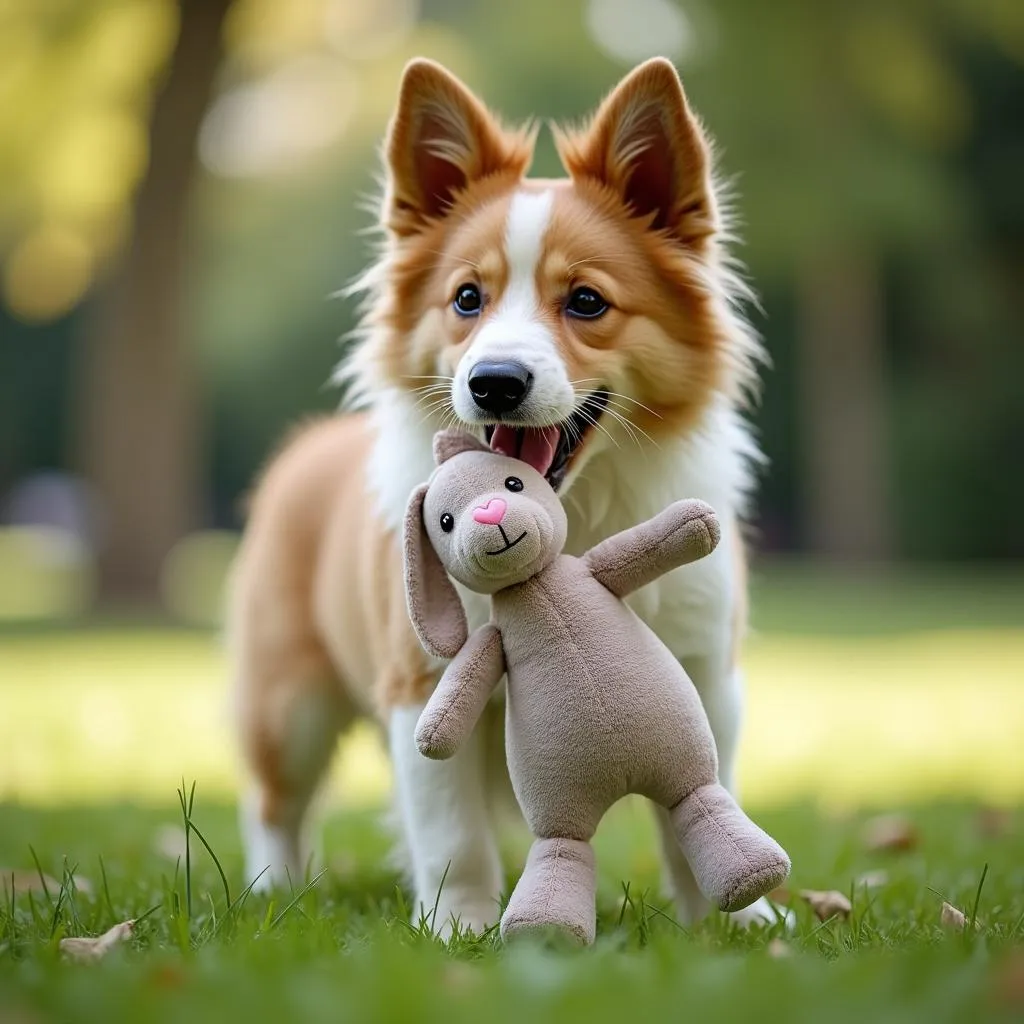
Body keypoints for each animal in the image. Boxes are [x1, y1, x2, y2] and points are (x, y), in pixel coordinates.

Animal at [232, 56, 770, 937]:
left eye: (586, 301)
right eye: (465, 299)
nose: (494, 382)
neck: (573, 523)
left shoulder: (703, 671)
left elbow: (708, 788)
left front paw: (738, 925)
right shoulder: (420, 682)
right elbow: (455, 834)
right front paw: (462, 929)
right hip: (290, 700)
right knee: (275, 800)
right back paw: (273, 891)